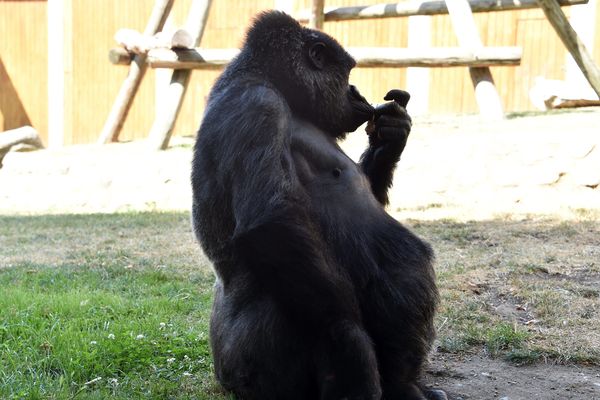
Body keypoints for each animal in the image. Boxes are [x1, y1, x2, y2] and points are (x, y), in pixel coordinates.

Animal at [192, 9, 446, 400]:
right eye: (348, 72)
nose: (356, 92)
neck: (272, 81)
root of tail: (224, 376)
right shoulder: (256, 106)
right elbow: (272, 220)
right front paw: (349, 345)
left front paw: (393, 133)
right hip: (257, 373)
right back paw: (402, 385)